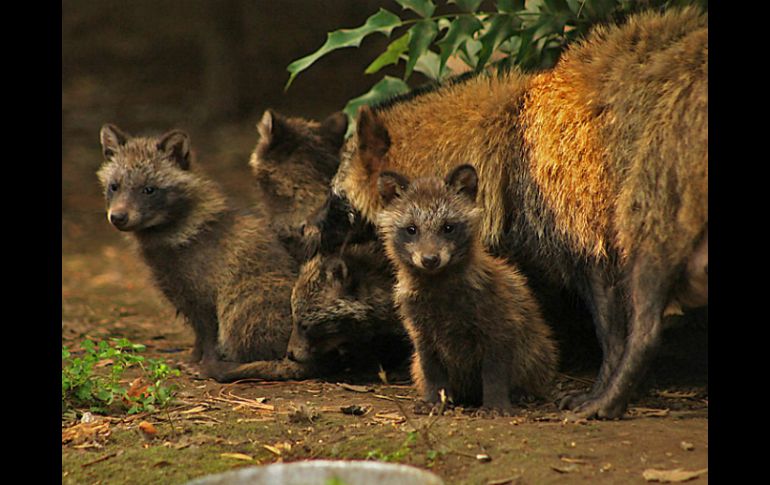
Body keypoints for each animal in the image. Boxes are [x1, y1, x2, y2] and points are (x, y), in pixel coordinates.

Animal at [95, 124, 296, 378]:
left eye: (149, 190)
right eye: (114, 186)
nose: (118, 217)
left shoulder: (207, 294)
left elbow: (209, 337)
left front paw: (204, 364)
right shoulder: (180, 293)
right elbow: (199, 336)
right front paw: (193, 358)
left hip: (246, 299)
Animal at [376, 164, 556, 410]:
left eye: (448, 227)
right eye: (411, 229)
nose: (430, 259)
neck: (439, 291)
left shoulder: (499, 325)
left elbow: (494, 374)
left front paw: (495, 406)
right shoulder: (421, 333)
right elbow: (432, 373)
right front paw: (434, 401)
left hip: (535, 350)